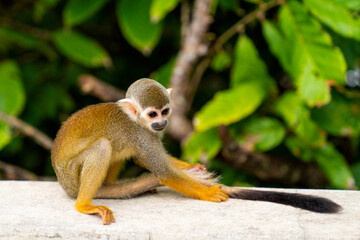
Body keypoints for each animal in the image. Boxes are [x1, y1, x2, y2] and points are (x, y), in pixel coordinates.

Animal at [50, 78, 340, 225]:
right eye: (152, 114)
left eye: (165, 111)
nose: (161, 123)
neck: (137, 121)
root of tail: (66, 186)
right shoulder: (142, 135)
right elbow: (164, 172)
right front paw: (208, 192)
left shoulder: (147, 134)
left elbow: (154, 162)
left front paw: (190, 167)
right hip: (72, 176)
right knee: (103, 146)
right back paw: (85, 204)